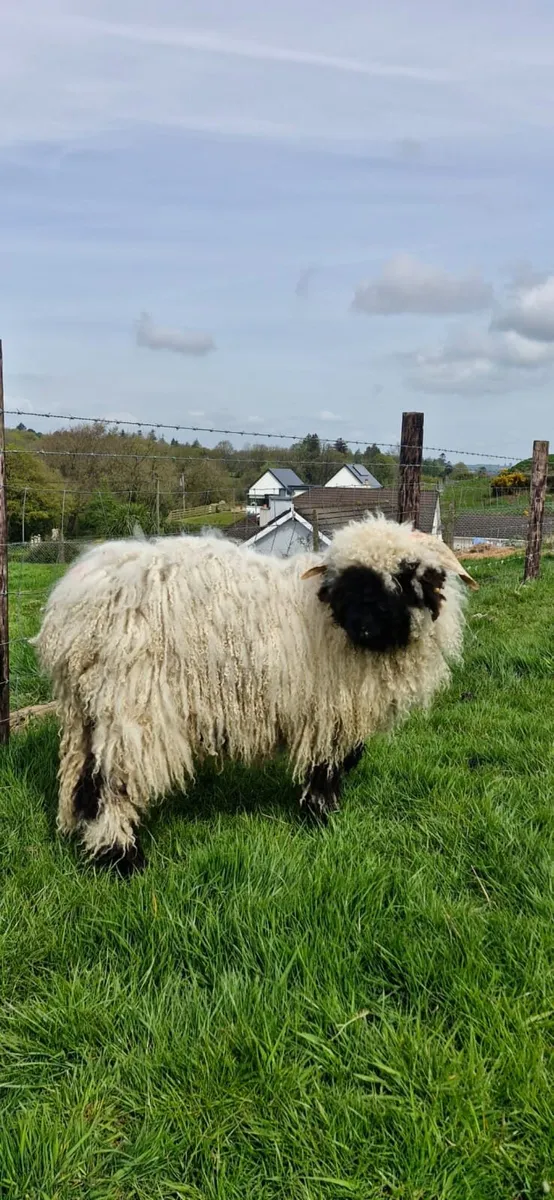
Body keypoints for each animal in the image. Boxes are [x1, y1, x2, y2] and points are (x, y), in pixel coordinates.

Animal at [33, 516, 477, 874]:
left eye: (405, 578)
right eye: (348, 583)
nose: (363, 626)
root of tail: (72, 613)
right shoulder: (328, 711)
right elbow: (327, 766)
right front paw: (320, 816)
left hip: (89, 713)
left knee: (83, 780)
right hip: (132, 708)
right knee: (111, 785)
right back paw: (122, 859)